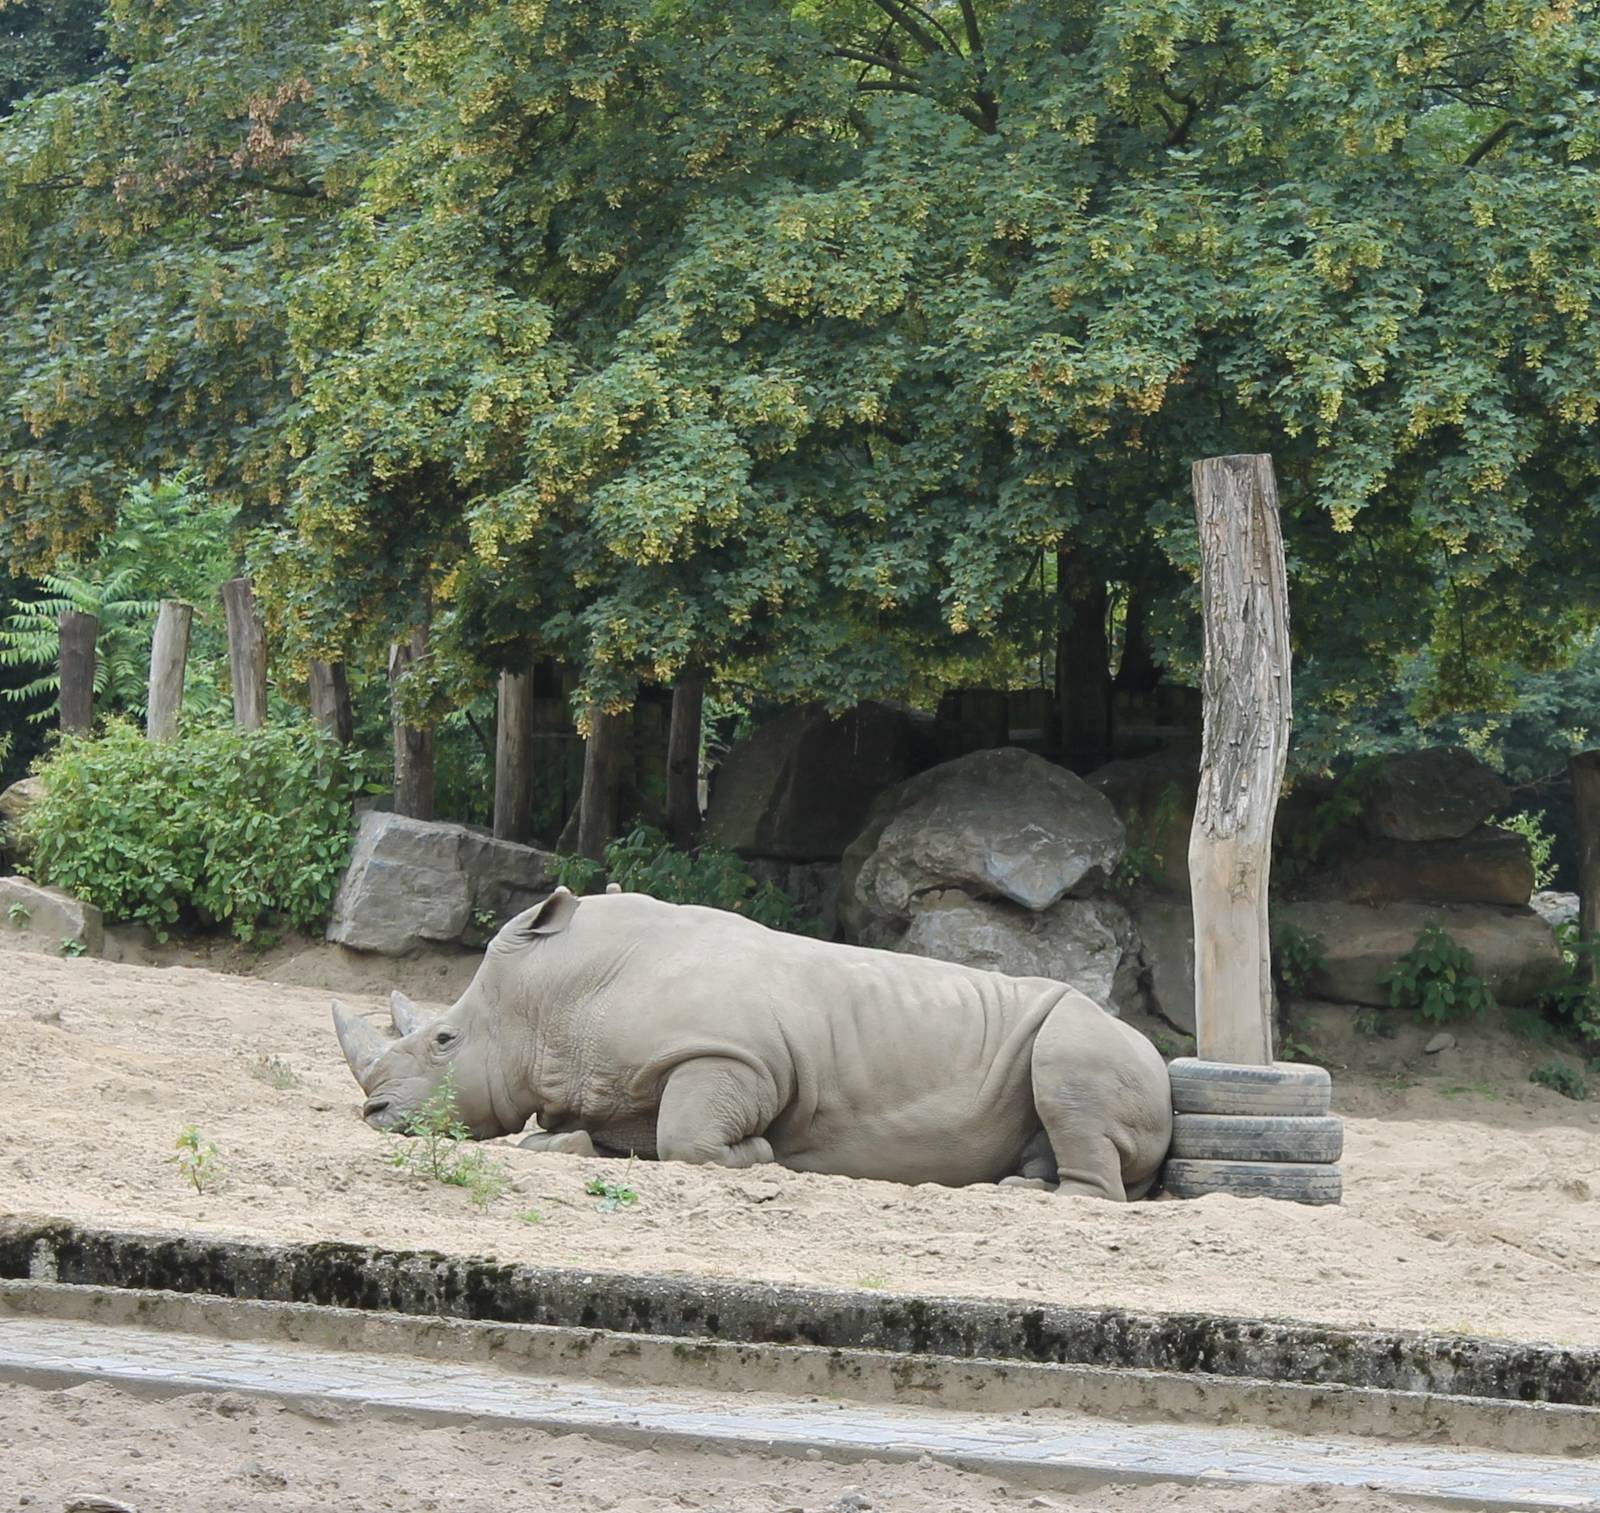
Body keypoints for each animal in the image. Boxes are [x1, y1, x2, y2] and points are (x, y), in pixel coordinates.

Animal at [333, 888, 1172, 1199]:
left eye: (444, 1039)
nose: (373, 1113)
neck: (560, 999)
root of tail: (1162, 1060)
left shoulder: (732, 1056)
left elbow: (687, 1137)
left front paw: (765, 1154)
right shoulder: (609, 1084)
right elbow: (584, 1135)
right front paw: (557, 1147)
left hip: (1093, 1037)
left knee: (1067, 1072)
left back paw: (1033, 1194)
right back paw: (1022, 1180)